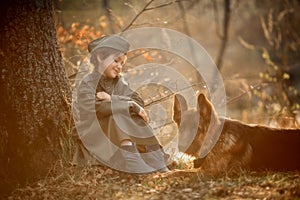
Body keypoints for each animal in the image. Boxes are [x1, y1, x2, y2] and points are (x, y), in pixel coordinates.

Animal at [172, 93, 300, 173]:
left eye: (197, 129)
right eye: (182, 129)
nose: (182, 146)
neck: (217, 141)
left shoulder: (211, 171)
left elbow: (179, 172)